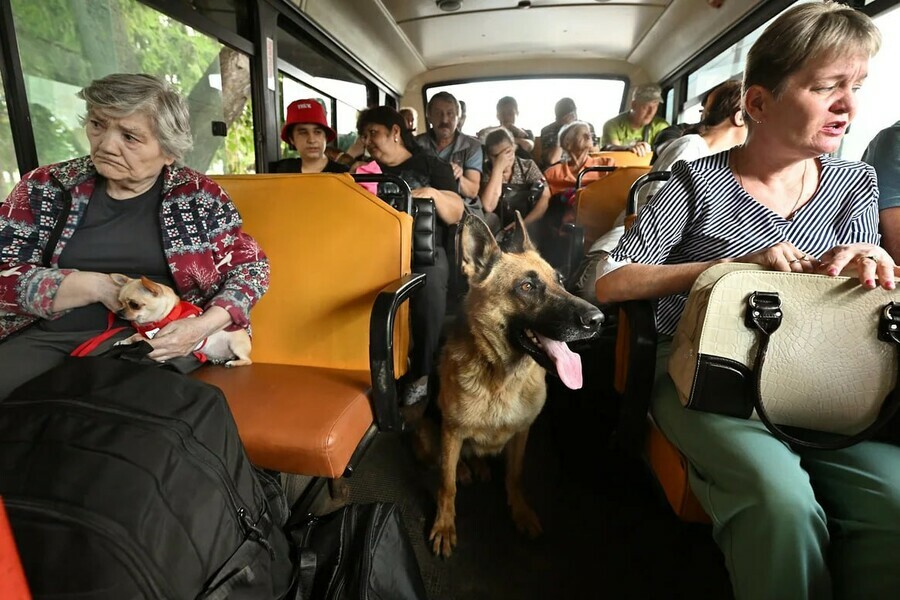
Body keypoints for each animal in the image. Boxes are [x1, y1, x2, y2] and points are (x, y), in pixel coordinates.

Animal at [428, 213, 604, 556]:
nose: (598, 320)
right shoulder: (452, 431)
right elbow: (446, 483)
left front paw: (520, 511)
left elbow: (515, 474)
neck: (502, 377)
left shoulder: (522, 432)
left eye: (560, 281)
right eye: (527, 286)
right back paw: (466, 469)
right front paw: (444, 524)